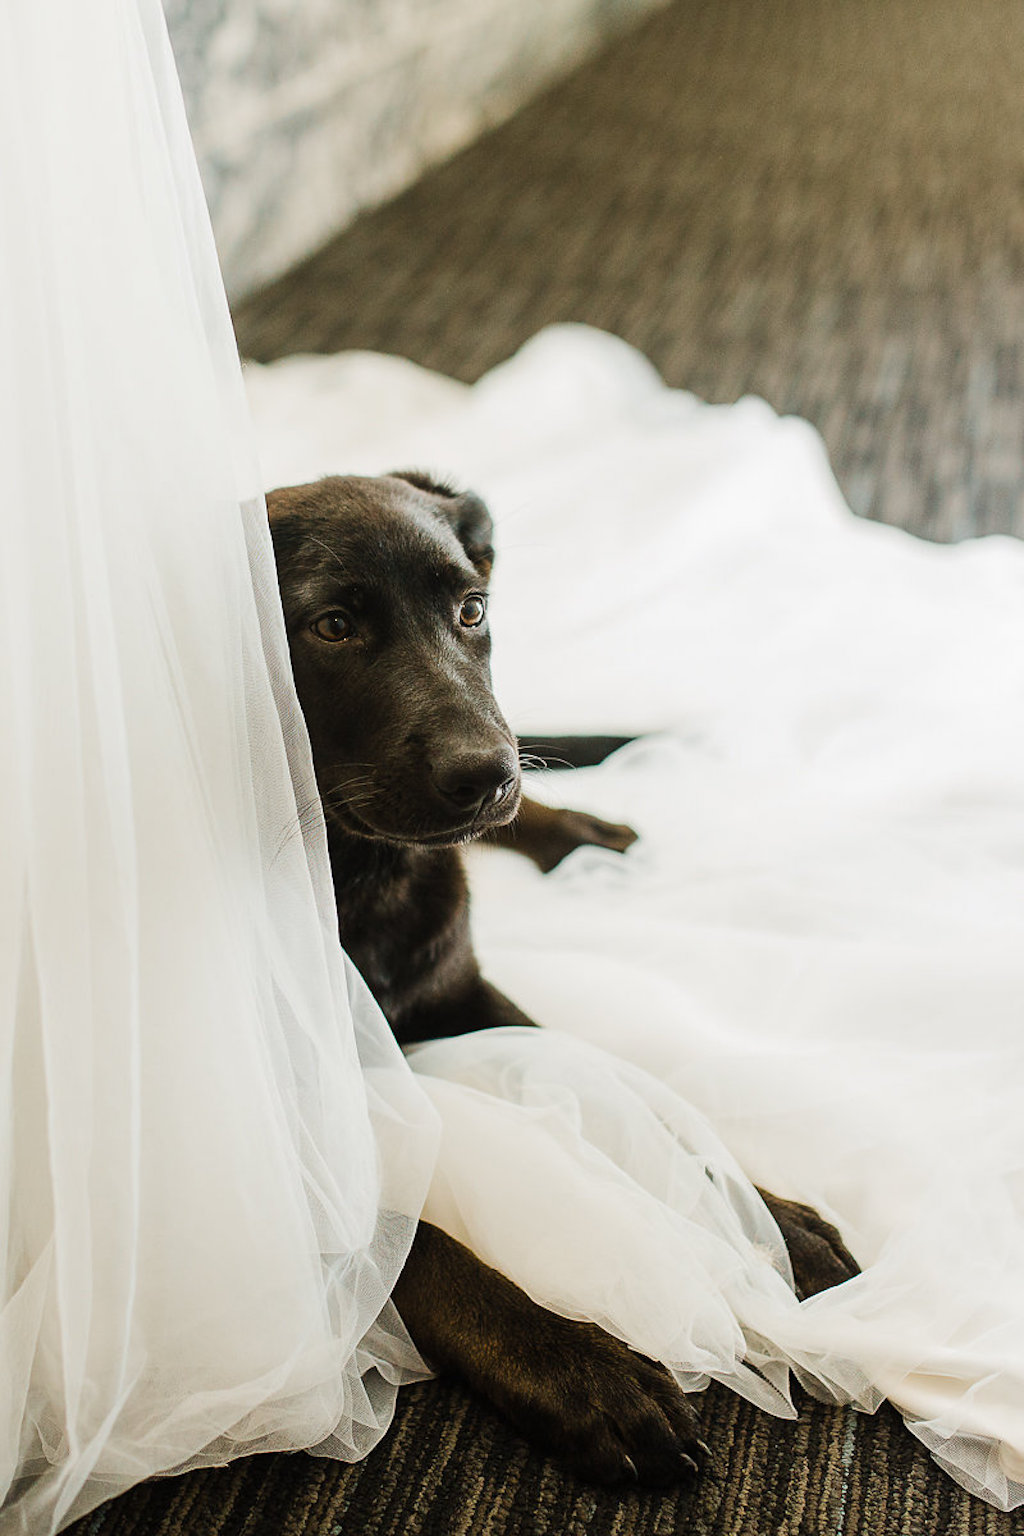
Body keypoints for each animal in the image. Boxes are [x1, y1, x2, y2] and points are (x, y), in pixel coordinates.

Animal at [267, 470, 859, 1486]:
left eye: (472, 610)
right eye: (332, 627)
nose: (488, 774)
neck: (354, 879)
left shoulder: (465, 993)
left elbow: (648, 1109)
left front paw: (764, 1216)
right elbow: (418, 1248)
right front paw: (582, 1371)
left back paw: (573, 829)